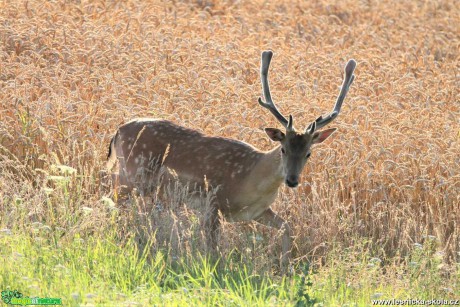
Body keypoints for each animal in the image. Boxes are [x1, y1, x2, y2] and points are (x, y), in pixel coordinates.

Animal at [107, 51, 356, 272]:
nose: (292, 180)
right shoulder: (213, 201)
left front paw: (287, 268)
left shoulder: (257, 212)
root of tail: (118, 131)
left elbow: (287, 227)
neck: (250, 179)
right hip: (131, 175)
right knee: (112, 201)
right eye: (283, 149)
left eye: (308, 153)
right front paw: (213, 270)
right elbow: (212, 246)